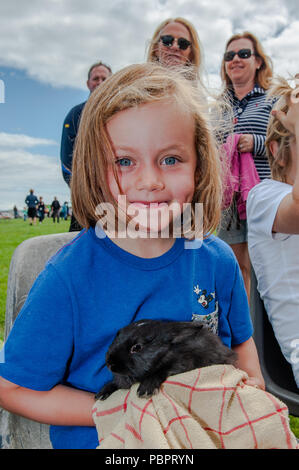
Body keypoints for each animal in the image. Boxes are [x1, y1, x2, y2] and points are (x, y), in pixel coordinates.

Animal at [95, 320, 238, 400]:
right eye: (117, 335)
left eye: (136, 347)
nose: (110, 364)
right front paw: (101, 393)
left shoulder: (182, 363)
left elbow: (161, 371)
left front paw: (145, 390)